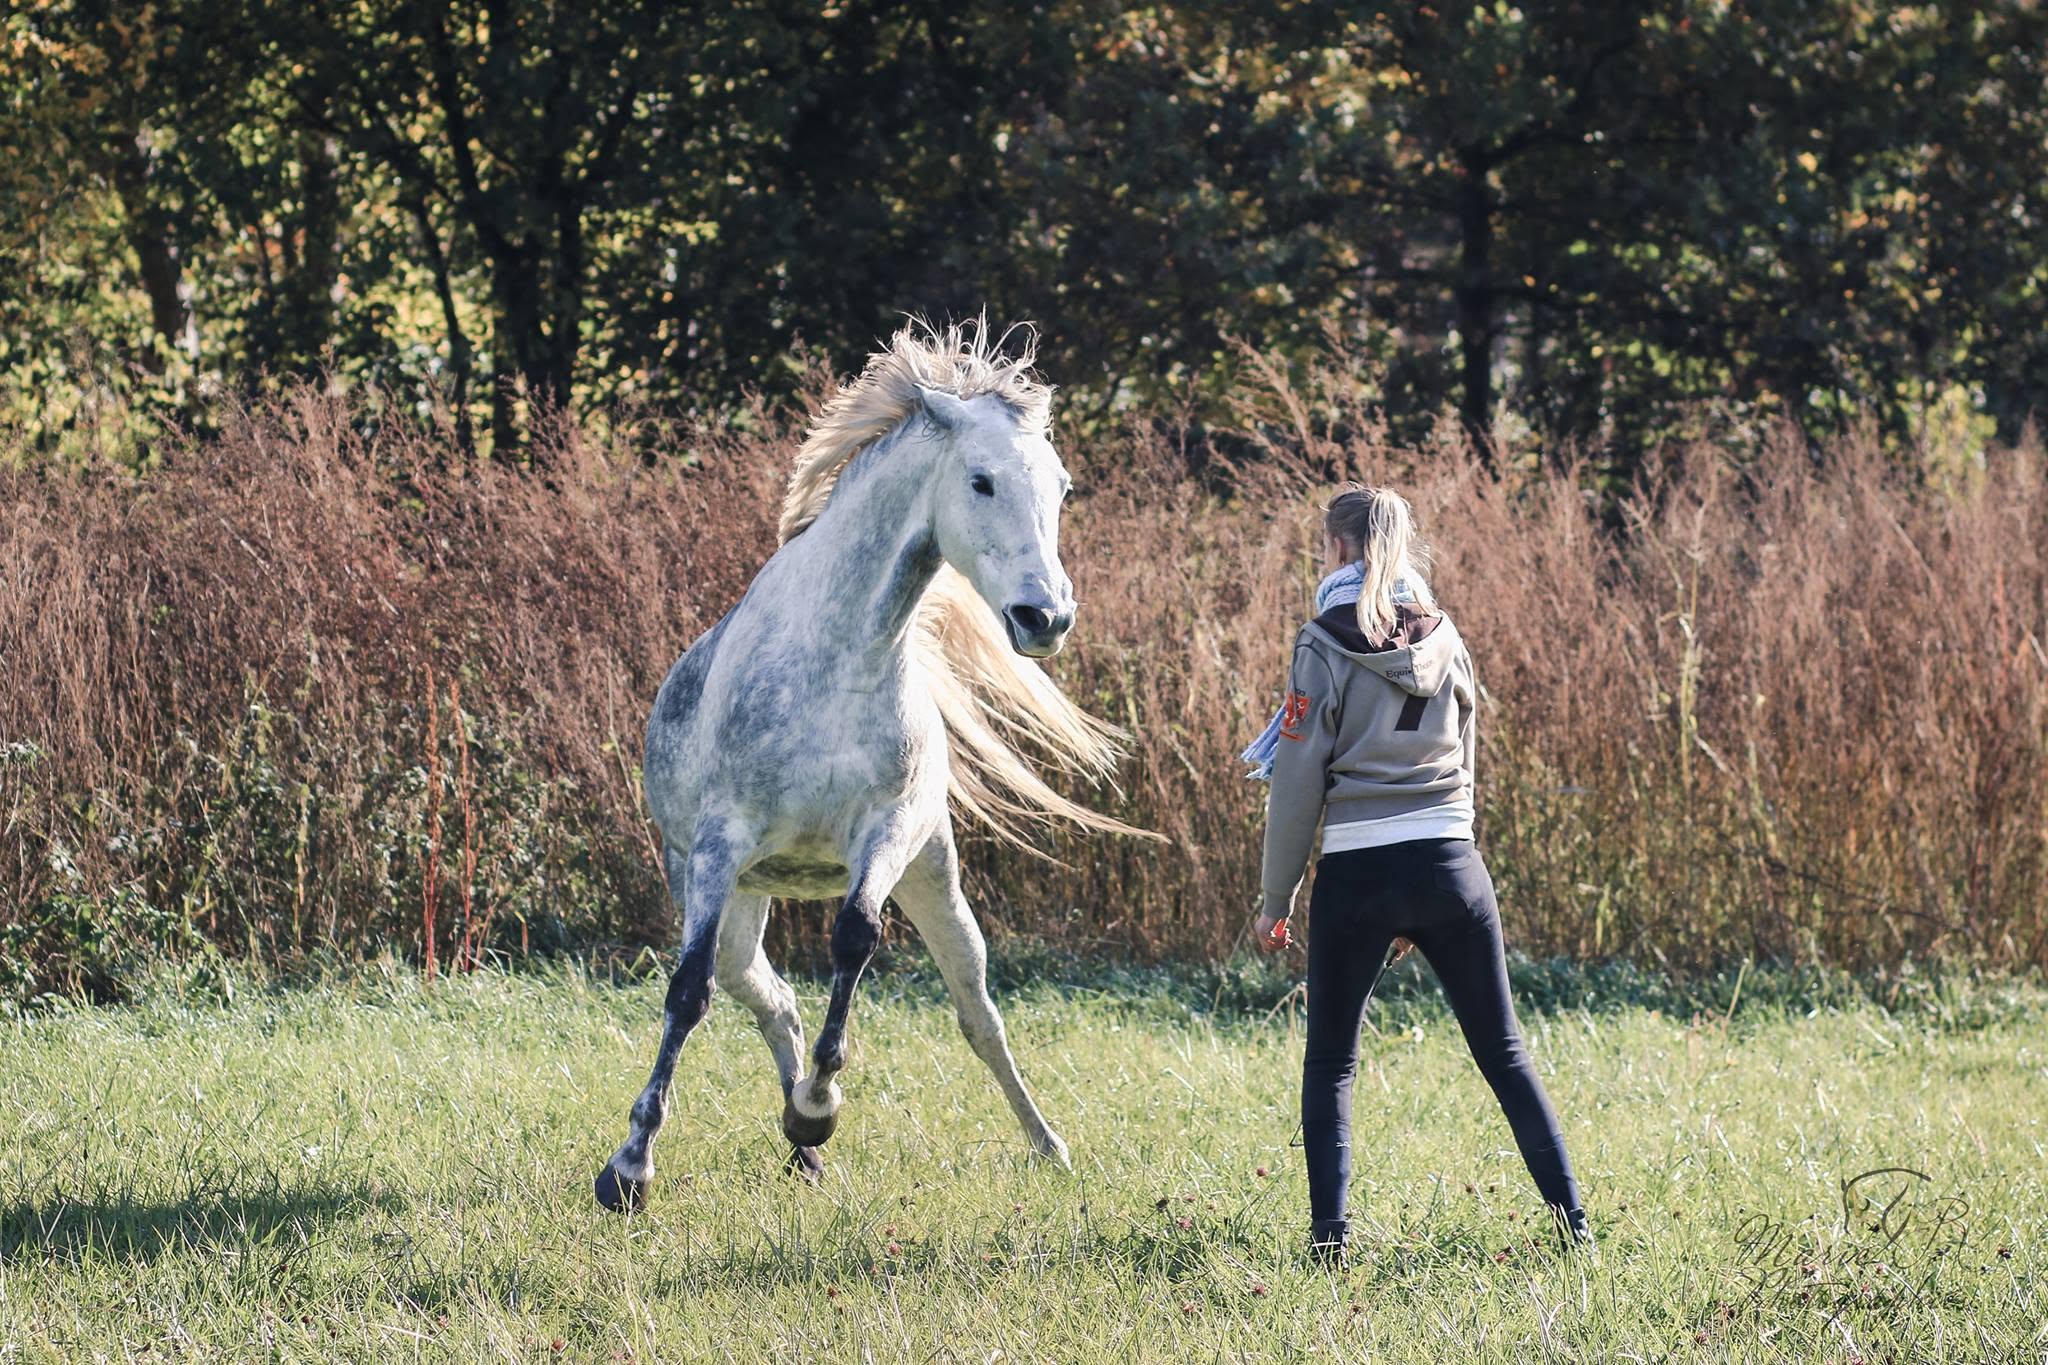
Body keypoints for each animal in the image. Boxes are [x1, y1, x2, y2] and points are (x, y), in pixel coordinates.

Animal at [595, 319, 1146, 1212]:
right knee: (765, 996)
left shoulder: (885, 833)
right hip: (735, 900)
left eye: (1062, 488)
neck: (838, 658)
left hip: (934, 876)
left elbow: (855, 936)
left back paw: (1040, 1144)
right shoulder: (718, 846)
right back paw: (798, 1147)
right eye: (982, 480)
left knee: (976, 1011)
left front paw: (819, 1107)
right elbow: (687, 992)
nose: (1046, 617)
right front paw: (631, 1166)